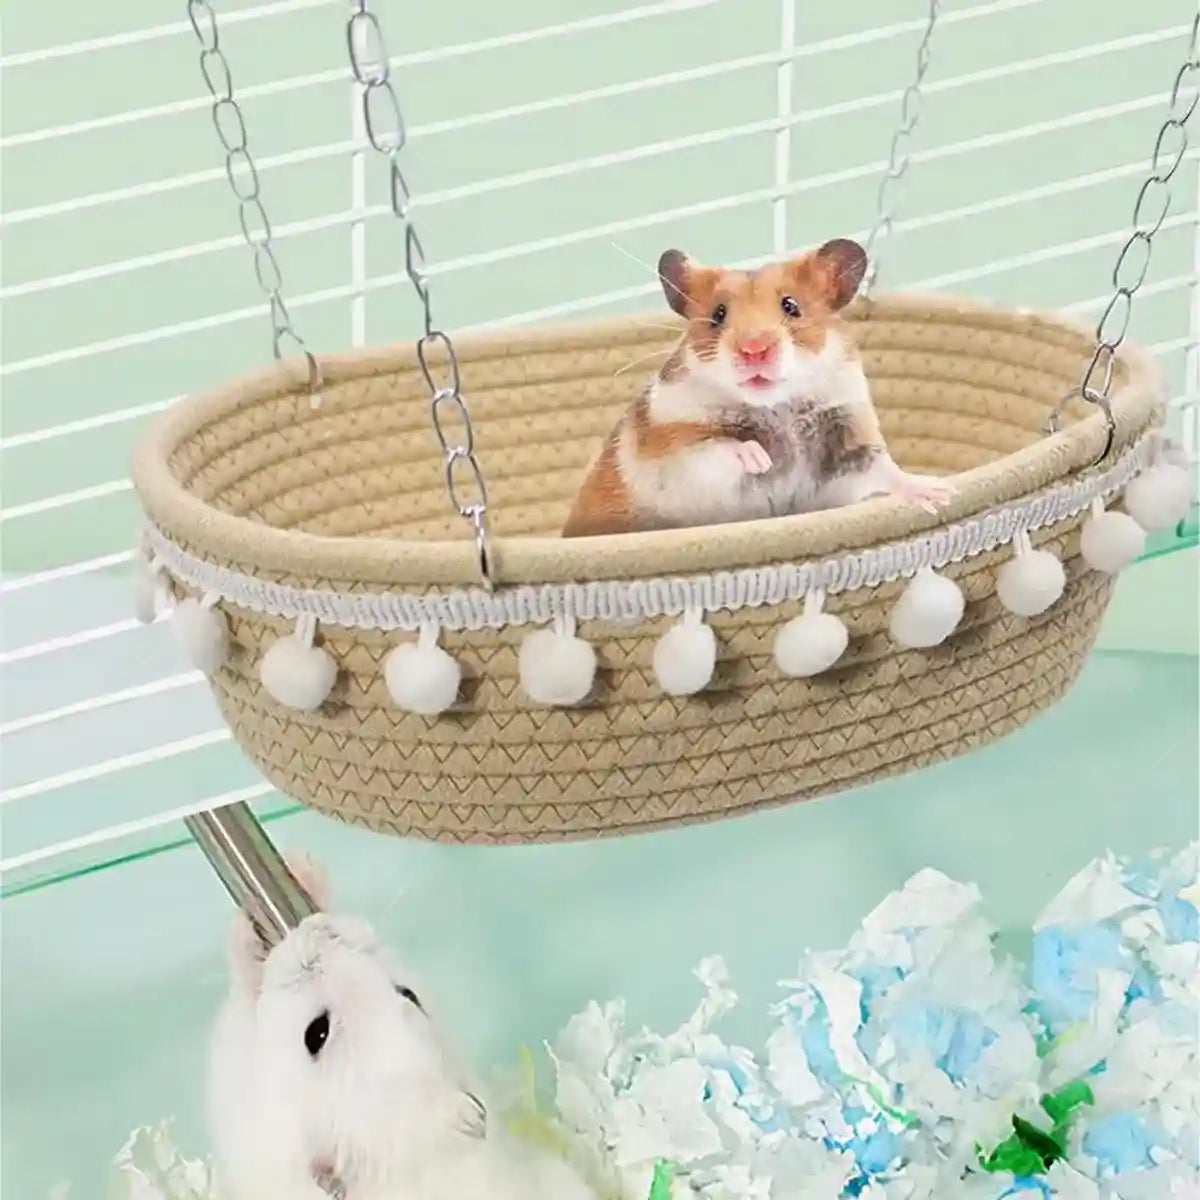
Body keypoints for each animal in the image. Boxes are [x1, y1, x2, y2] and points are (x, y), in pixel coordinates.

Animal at [562, 238, 954, 538]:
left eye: (791, 306)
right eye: (718, 314)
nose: (754, 350)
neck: (775, 407)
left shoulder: (850, 440)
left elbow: (886, 471)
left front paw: (939, 492)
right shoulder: (671, 446)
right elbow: (720, 447)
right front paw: (760, 458)